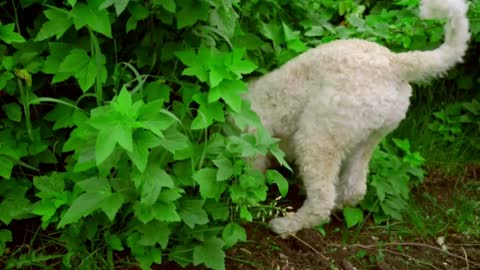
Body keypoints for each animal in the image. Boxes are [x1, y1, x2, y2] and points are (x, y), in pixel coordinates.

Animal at [246, 0, 470, 235]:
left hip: (318, 137)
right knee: (355, 188)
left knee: (322, 201)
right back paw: (337, 204)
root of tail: (397, 63)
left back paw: (286, 225)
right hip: (368, 137)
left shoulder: (256, 136)